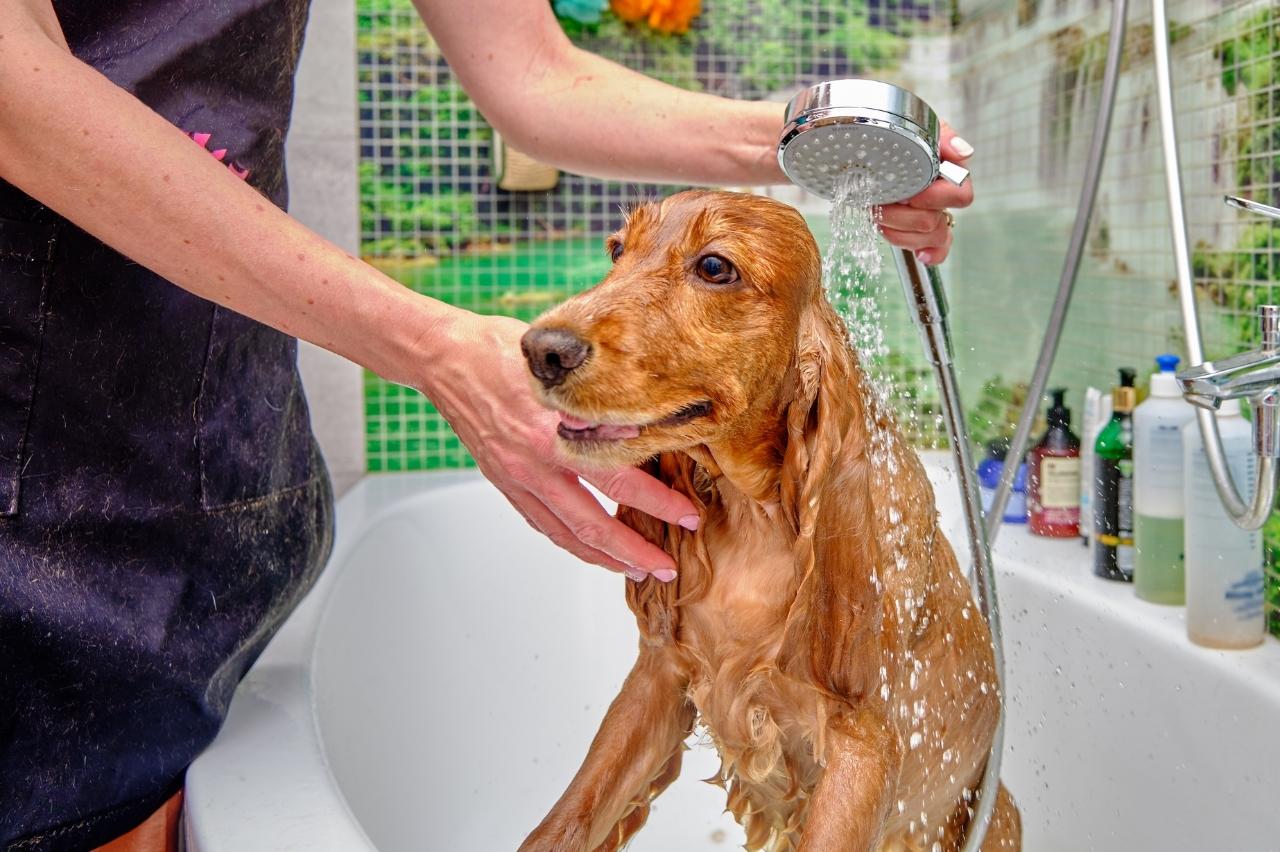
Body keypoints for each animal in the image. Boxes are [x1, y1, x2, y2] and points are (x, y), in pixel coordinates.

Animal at [517, 191, 1018, 849]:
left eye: (714, 267)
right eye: (617, 250)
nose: (542, 351)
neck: (756, 516)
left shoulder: (863, 742)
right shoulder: (659, 677)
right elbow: (564, 822)